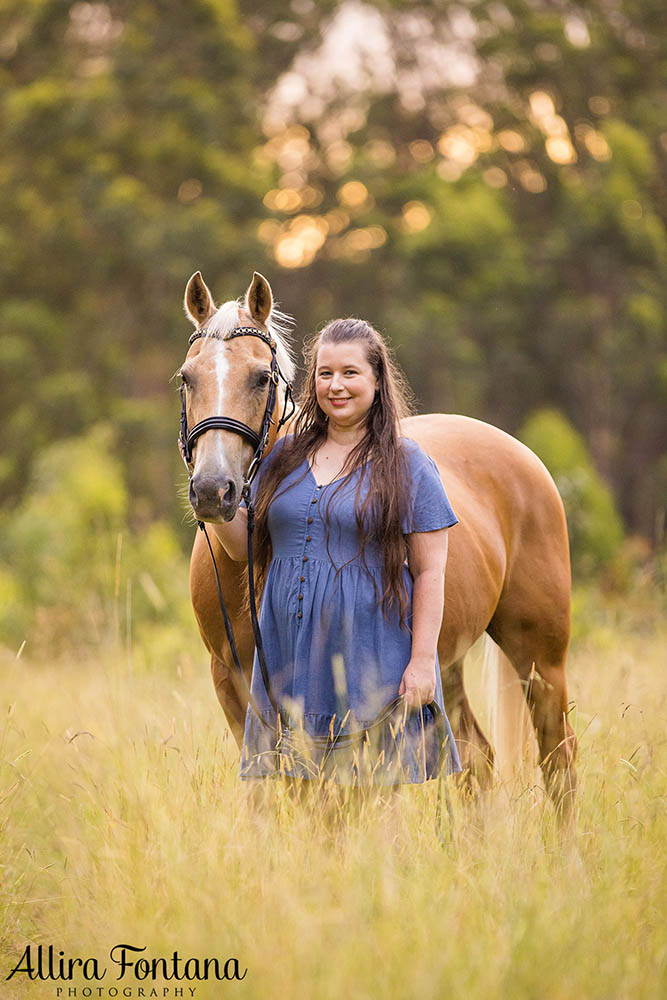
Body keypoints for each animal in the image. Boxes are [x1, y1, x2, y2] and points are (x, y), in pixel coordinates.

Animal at [180, 270, 576, 816]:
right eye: (187, 377)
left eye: (261, 377)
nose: (213, 491)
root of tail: (523, 457)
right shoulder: (234, 684)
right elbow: (266, 792)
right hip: (443, 666)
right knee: (477, 760)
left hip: (539, 655)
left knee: (559, 761)